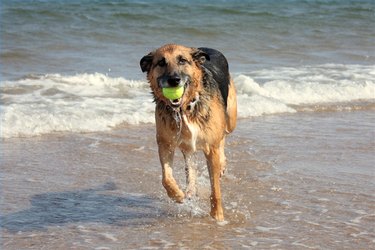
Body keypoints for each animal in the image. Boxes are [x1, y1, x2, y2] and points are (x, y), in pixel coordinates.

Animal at [141, 43, 238, 221]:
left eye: (182, 60)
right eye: (161, 63)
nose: (174, 80)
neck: (184, 109)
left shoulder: (211, 149)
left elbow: (215, 190)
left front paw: (217, 216)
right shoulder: (165, 144)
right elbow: (166, 178)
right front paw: (178, 195)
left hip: (230, 119)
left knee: (223, 136)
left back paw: (221, 163)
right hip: (186, 145)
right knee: (190, 163)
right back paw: (190, 188)